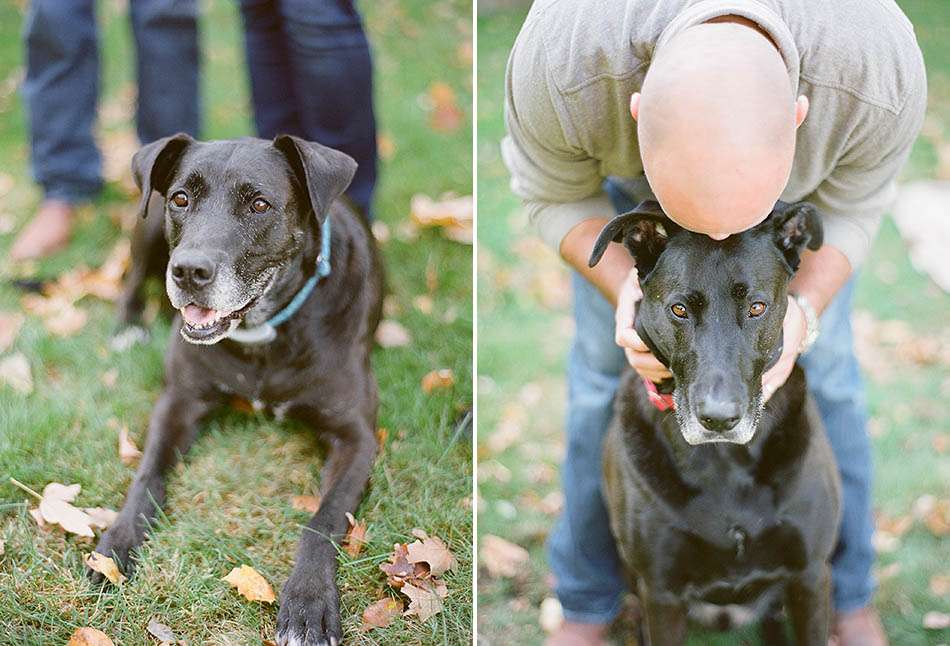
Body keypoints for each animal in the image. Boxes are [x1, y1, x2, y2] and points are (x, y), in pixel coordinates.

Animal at [89, 133, 384, 646]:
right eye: (182, 199)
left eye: (260, 204)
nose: (188, 271)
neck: (263, 331)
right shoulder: (179, 402)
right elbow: (146, 477)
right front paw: (115, 545)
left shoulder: (358, 438)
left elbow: (324, 518)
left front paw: (308, 602)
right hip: (148, 227)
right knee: (131, 277)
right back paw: (127, 326)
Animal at [592, 202, 844, 646]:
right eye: (679, 309)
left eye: (757, 307)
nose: (719, 419)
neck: (726, 459)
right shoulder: (661, 593)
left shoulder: (811, 576)